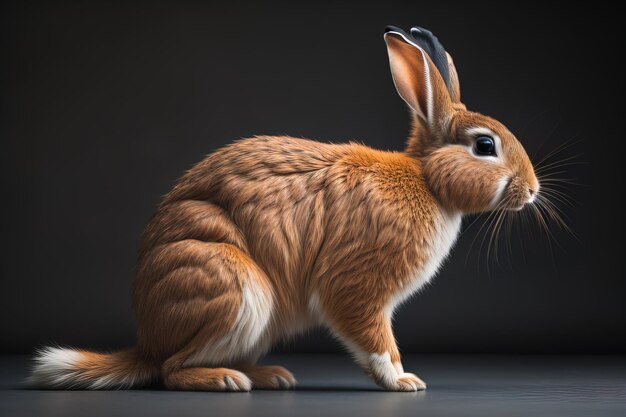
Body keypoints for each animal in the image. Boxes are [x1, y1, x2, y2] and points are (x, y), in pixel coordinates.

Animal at [28, 25, 536, 390]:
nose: (532, 191)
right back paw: (226, 380)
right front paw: (404, 381)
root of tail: (146, 341)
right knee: (170, 369)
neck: (427, 180)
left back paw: (270, 377)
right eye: (485, 145)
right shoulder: (357, 286)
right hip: (235, 290)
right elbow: (375, 340)